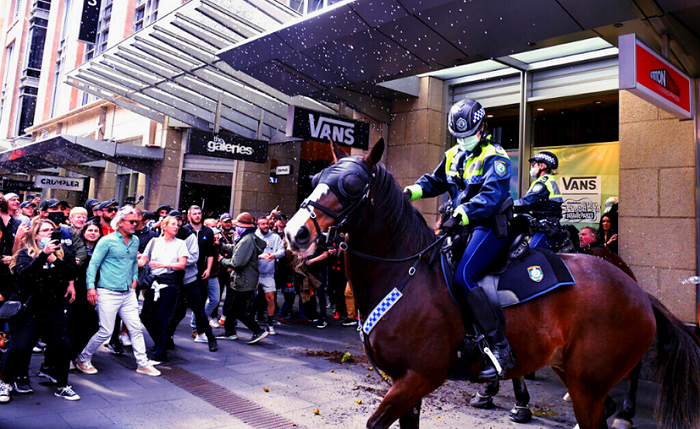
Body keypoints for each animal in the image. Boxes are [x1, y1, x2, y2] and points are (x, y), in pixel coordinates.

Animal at [284, 139, 700, 426]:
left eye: (353, 184)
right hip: (576, 374)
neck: (407, 275)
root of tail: (638, 292)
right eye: (316, 178)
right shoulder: (405, 386)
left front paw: (510, 401)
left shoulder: (417, 377)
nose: (295, 233)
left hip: (588, 384)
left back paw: (626, 411)